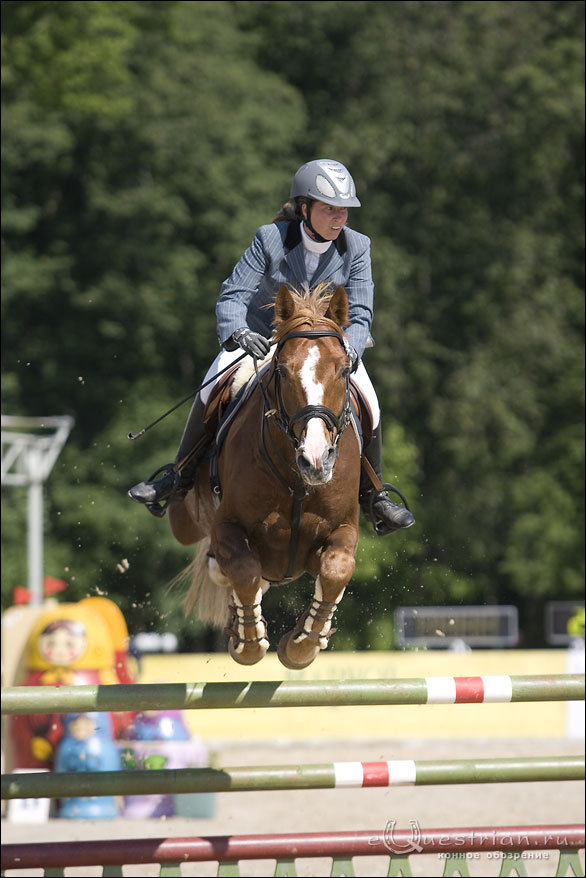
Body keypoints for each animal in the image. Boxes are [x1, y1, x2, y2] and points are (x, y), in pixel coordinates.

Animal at [168, 286, 360, 672]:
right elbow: (244, 569)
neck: (299, 482)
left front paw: (302, 645)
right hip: (186, 521)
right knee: (221, 566)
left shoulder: (343, 528)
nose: (316, 459)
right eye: (282, 372)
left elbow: (337, 569)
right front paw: (248, 643)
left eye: (345, 369)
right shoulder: (226, 526)